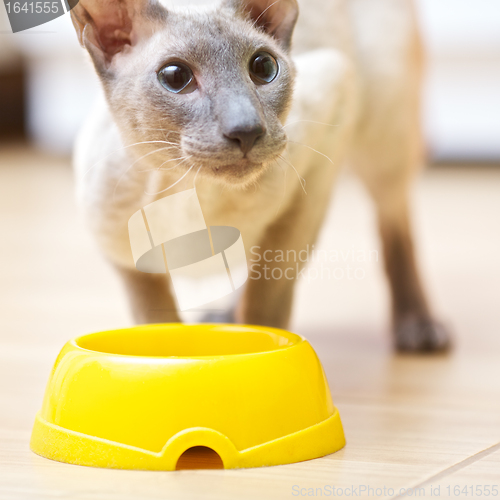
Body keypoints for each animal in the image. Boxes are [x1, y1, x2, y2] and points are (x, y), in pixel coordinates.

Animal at [72, 0, 452, 352]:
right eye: (176, 78)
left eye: (264, 68)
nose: (246, 130)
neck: (193, 193)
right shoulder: (124, 260)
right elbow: (157, 326)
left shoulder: (317, 166)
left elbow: (266, 301)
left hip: (382, 129)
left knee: (395, 221)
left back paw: (418, 325)